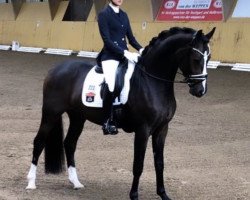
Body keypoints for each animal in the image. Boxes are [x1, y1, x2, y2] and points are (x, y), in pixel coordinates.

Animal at [26, 27, 215, 200]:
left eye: (209, 58)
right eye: (196, 58)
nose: (200, 91)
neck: (152, 81)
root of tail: (56, 69)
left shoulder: (162, 129)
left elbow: (159, 163)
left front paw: (163, 194)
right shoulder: (143, 130)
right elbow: (138, 165)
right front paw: (134, 195)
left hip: (78, 117)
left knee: (70, 143)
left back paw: (76, 183)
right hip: (51, 113)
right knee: (39, 142)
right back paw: (31, 183)